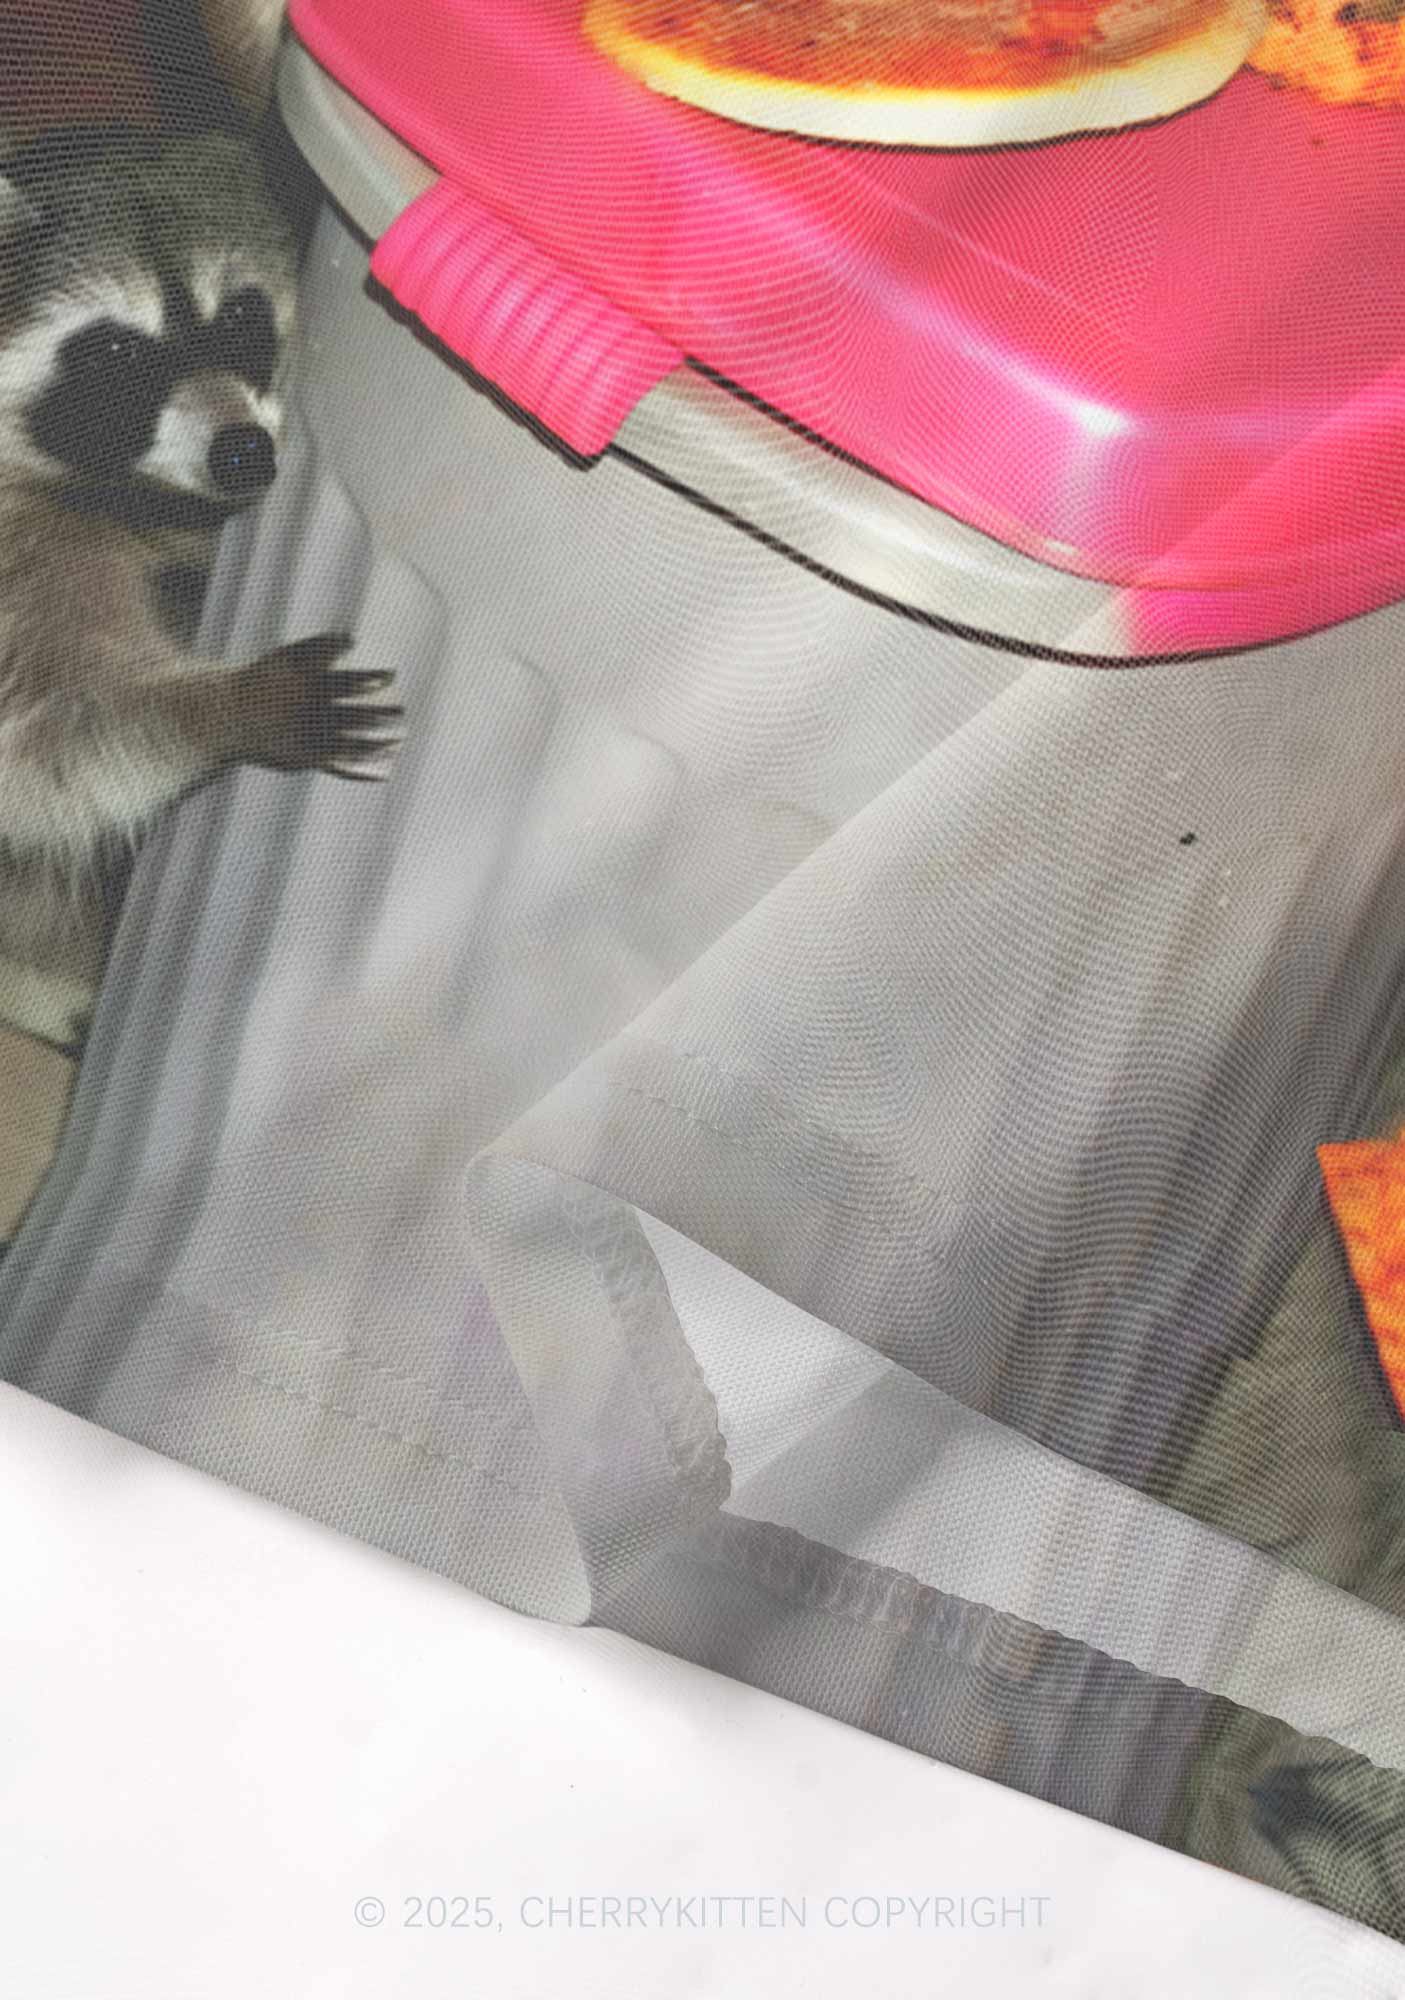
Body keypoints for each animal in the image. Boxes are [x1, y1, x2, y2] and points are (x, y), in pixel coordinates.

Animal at [0, 6, 398, 1042]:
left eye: (241, 321)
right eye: (112, 356)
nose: (245, 455)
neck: (126, 489)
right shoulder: (8, 549)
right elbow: (47, 742)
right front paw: (220, 709)